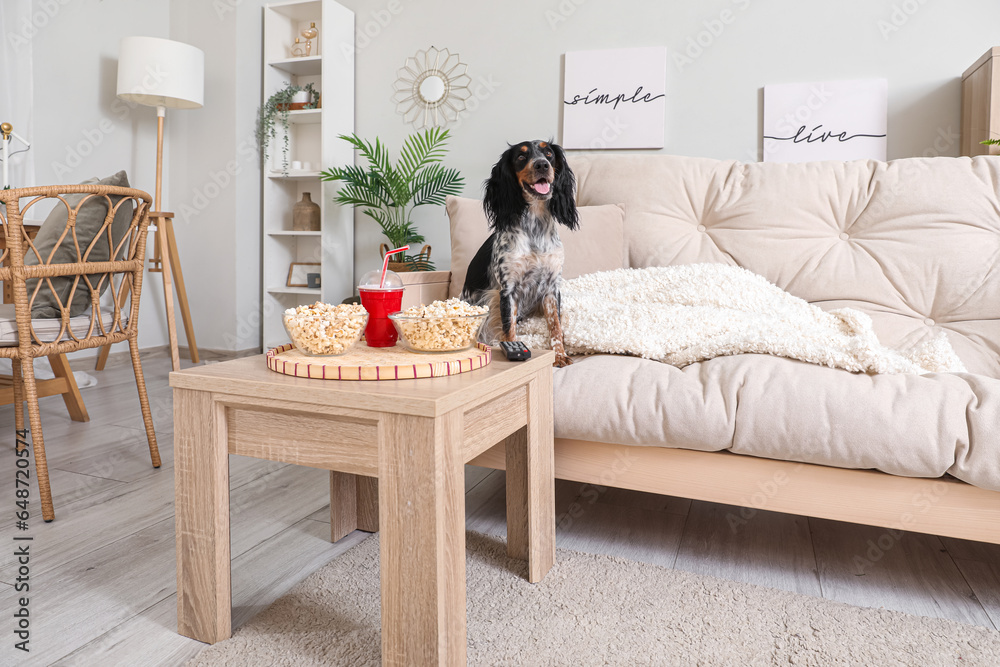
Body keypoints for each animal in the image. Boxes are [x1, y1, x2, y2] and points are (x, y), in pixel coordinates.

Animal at [460, 140, 580, 368]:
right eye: (521, 157)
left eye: (549, 153)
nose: (542, 165)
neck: (535, 228)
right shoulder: (508, 290)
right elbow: (509, 330)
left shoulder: (551, 289)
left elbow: (556, 327)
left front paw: (559, 355)